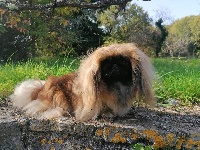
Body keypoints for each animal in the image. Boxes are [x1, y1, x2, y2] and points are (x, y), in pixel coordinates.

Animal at [11, 42, 155, 121]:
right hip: (58, 94)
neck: (115, 85)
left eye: (123, 61)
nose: (114, 65)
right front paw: (106, 113)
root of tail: (40, 89)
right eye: (106, 63)